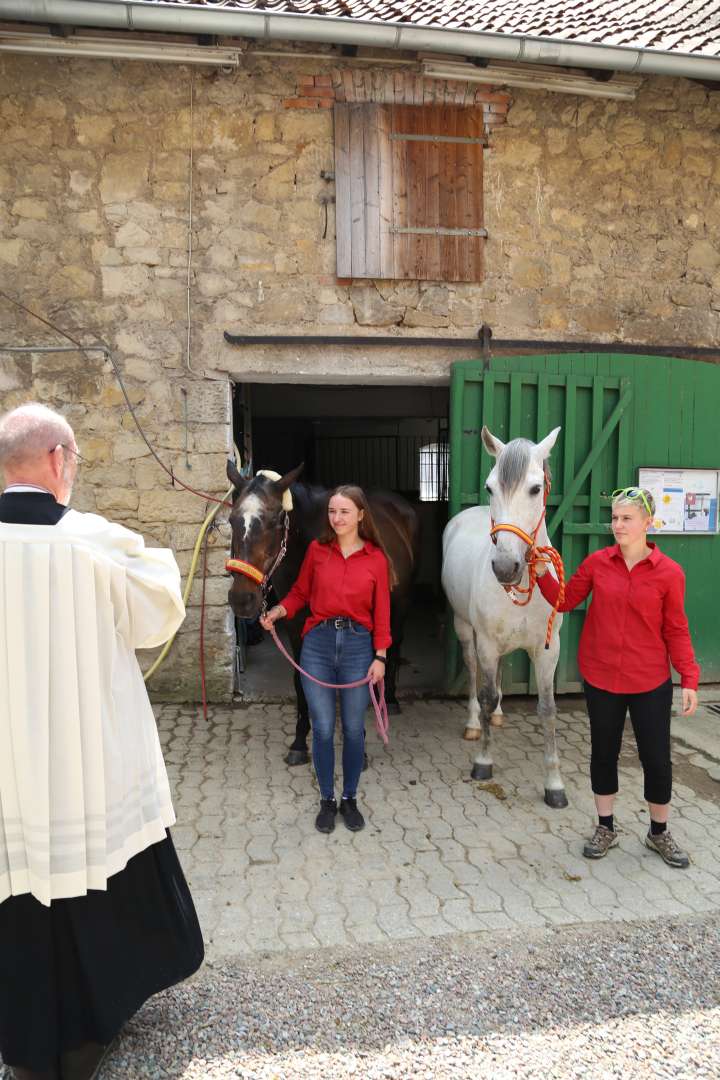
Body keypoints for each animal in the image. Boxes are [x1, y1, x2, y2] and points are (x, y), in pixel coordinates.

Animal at [440, 425, 569, 807]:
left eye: (535, 488)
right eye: (489, 487)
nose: (504, 567)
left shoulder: (548, 650)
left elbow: (548, 709)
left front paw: (554, 784)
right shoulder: (486, 643)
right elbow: (484, 695)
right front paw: (483, 762)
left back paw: (496, 718)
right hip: (466, 631)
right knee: (472, 674)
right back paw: (473, 724)